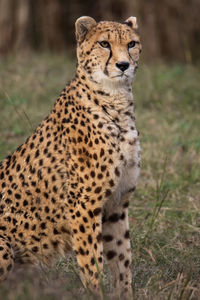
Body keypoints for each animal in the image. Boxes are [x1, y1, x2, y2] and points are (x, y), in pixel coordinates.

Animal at [0, 15, 141, 298]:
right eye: (104, 44)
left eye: (131, 44)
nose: (123, 65)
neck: (116, 102)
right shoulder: (83, 206)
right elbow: (92, 263)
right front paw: (96, 293)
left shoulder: (117, 205)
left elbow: (122, 261)